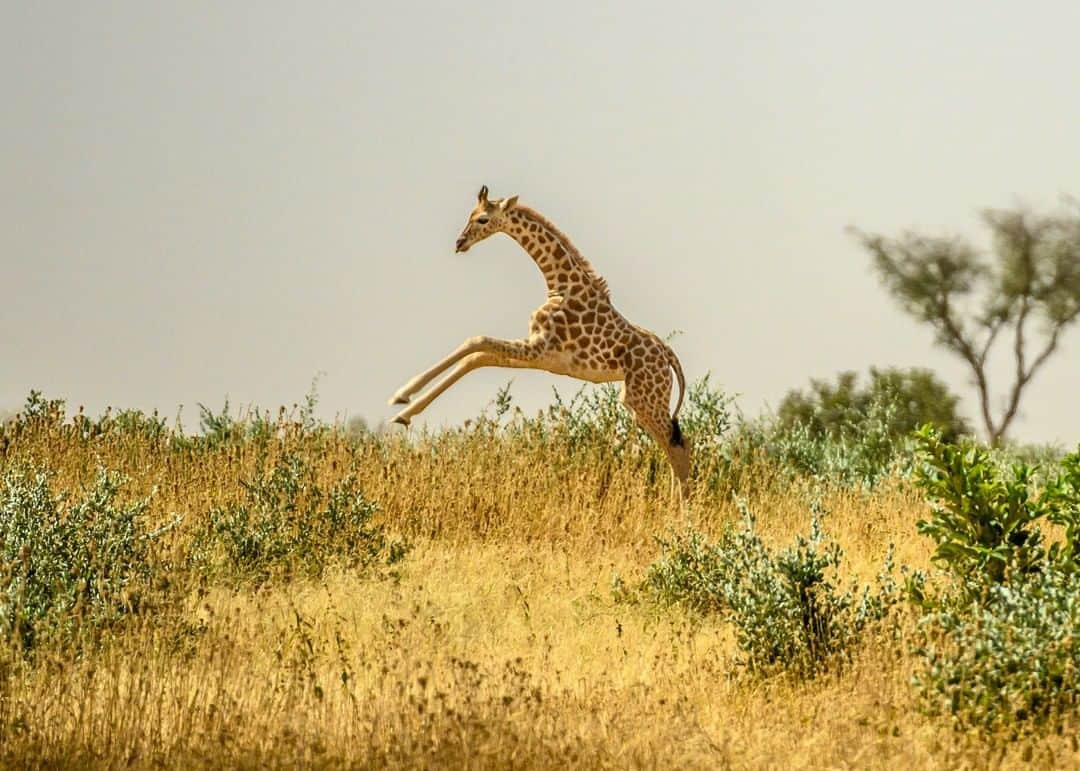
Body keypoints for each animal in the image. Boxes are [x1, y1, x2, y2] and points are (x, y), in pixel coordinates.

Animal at [390, 185, 691, 498]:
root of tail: (670, 357)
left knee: (680, 446)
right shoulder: (541, 355)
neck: (558, 284)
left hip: (645, 398)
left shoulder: (539, 347)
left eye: (483, 219)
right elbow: (477, 356)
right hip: (637, 400)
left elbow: (477, 341)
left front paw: (402, 399)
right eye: (469, 215)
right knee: (675, 445)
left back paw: (679, 509)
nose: (460, 243)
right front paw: (403, 406)